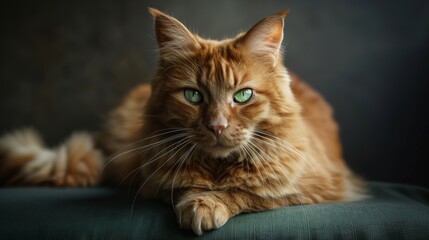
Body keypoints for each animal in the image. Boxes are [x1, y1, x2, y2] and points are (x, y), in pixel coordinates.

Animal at [0, 8, 364, 235]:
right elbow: (183, 185)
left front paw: (209, 205)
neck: (218, 167)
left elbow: (253, 191)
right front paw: (198, 202)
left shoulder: (321, 184)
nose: (217, 126)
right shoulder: (152, 177)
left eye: (243, 96)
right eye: (193, 96)